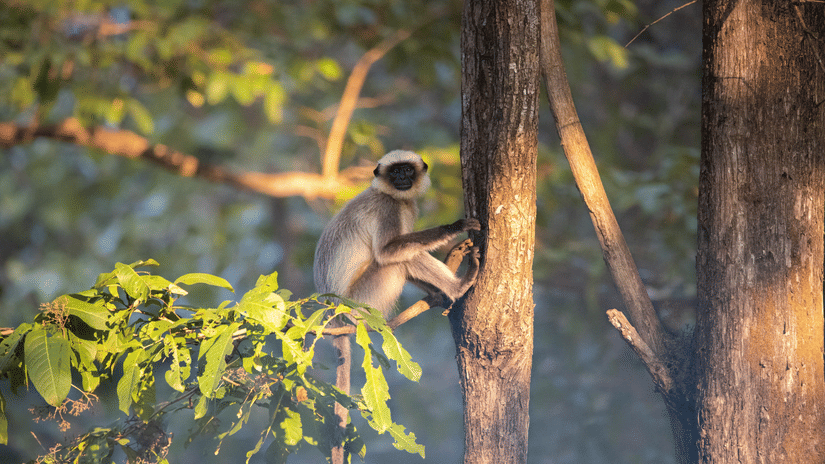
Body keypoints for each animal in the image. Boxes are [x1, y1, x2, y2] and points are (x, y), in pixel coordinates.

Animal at [312, 150, 480, 463]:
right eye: (395, 173)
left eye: (407, 171)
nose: (402, 178)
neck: (387, 193)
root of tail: (335, 315)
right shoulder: (389, 208)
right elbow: (389, 252)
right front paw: (455, 228)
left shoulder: (406, 206)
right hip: (364, 302)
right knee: (397, 261)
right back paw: (459, 286)